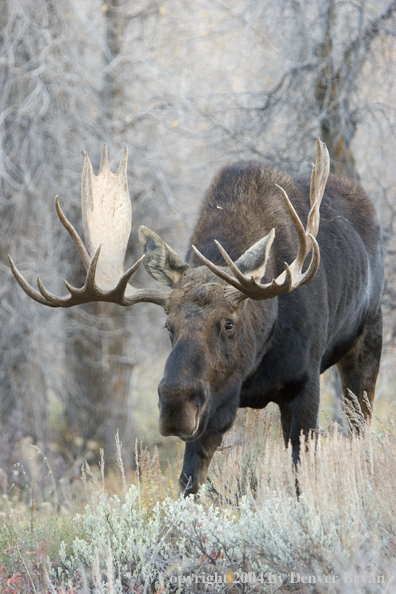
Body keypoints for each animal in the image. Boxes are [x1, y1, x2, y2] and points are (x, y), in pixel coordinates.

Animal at [9, 140, 382, 494]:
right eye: (168, 326)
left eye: (229, 323)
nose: (175, 402)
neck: (256, 360)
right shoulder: (213, 406)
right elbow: (189, 483)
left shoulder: (304, 385)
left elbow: (301, 476)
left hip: (368, 343)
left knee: (360, 428)